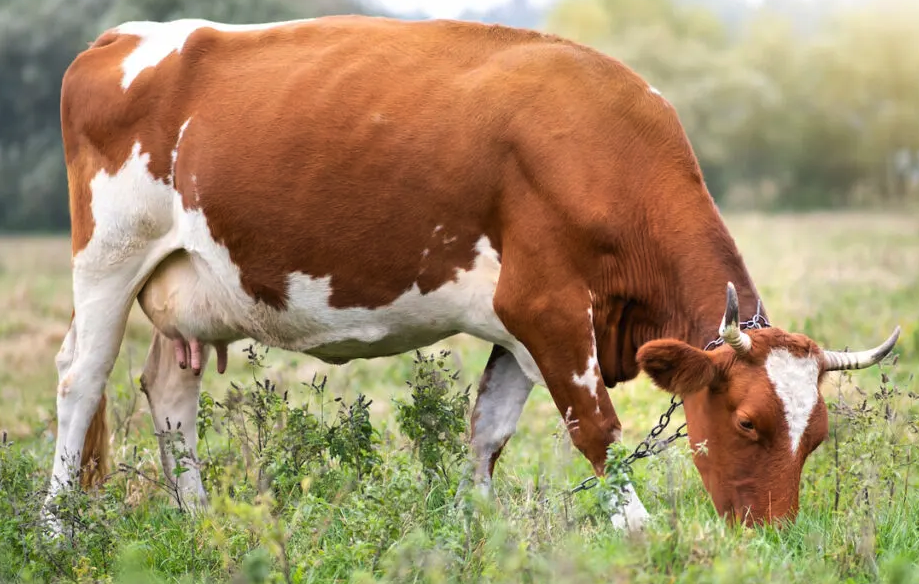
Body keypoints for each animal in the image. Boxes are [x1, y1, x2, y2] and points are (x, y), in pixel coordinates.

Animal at [46, 13, 904, 532]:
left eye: (816, 437)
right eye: (748, 423)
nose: (772, 536)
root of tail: (117, 39)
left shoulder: (520, 329)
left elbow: (487, 431)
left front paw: (473, 529)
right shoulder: (545, 308)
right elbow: (595, 429)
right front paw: (636, 530)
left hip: (188, 289)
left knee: (169, 393)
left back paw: (195, 518)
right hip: (109, 257)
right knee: (81, 381)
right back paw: (57, 528)